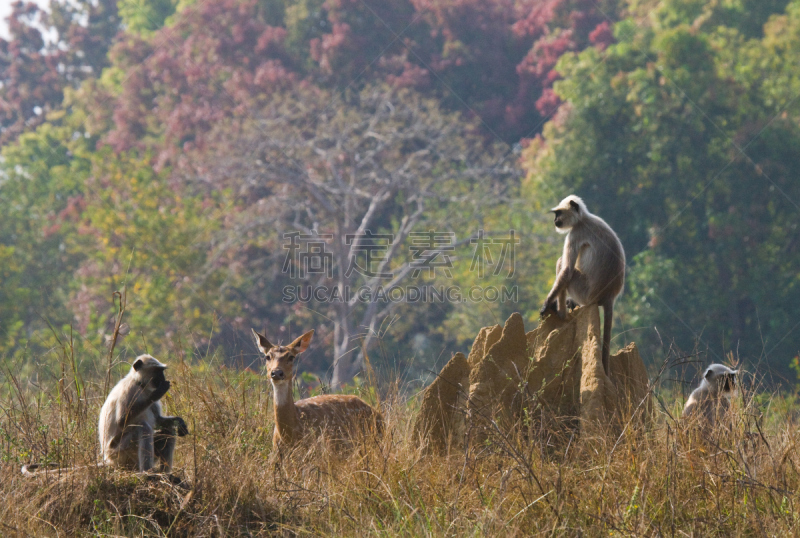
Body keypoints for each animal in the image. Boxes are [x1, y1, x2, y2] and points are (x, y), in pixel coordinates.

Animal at [22, 354, 188, 476]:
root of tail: (107, 460)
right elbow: (122, 420)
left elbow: (159, 420)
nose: (163, 378)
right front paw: (158, 392)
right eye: (157, 371)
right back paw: (148, 472)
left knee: (167, 432)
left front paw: (179, 422)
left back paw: (164, 473)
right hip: (121, 453)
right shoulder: (129, 391)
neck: (139, 384)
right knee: (143, 427)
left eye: (162, 371)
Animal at [544, 195, 624, 374]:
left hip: (584, 292)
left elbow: (566, 270)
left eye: (558, 213)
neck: (583, 218)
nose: (555, 220)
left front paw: (546, 304)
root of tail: (609, 295)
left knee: (563, 264)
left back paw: (560, 313)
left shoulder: (575, 233)